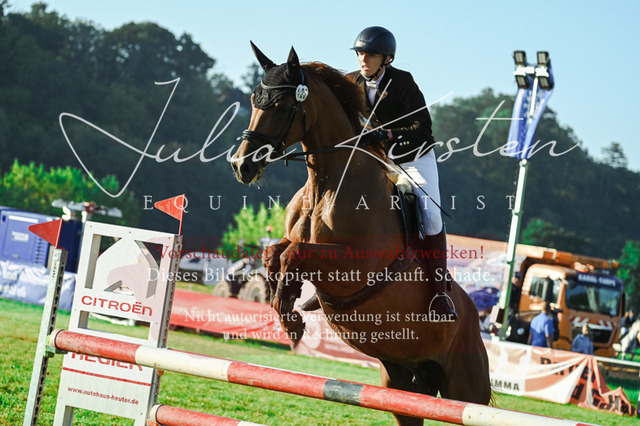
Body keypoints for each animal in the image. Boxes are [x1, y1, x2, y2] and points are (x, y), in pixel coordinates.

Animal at [231, 43, 491, 425]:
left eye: (280, 106)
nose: (242, 165)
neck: (326, 184)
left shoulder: (355, 267)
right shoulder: (295, 243)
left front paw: (292, 322)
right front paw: (288, 304)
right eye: (253, 100)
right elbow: (275, 253)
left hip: (466, 388)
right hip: (401, 382)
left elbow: (294, 254)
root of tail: (474, 318)